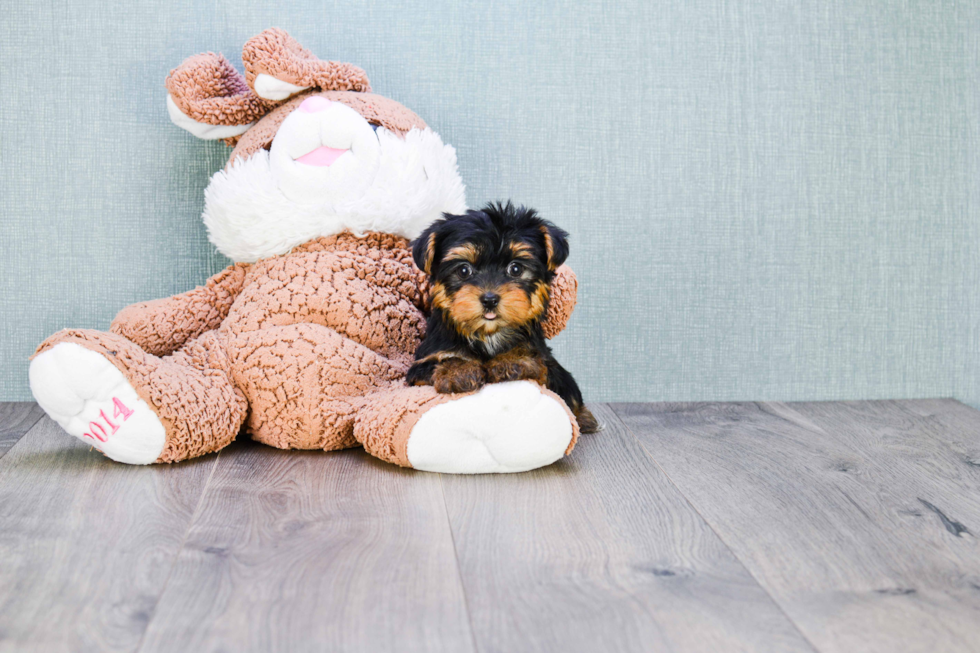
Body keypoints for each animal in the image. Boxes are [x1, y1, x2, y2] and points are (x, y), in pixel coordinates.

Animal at [404, 202, 596, 432]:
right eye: (463, 270)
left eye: (516, 268)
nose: (489, 299)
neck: (488, 334)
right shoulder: (421, 365)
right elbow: (441, 361)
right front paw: (458, 371)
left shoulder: (547, 364)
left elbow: (537, 361)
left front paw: (511, 360)